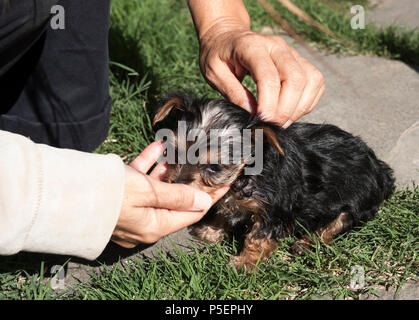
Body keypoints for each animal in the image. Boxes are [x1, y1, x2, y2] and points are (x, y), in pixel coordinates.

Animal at [153, 93, 396, 272]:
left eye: (214, 167)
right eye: (175, 152)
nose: (176, 184)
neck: (247, 173)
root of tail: (380, 169)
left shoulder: (275, 209)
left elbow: (258, 237)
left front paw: (245, 264)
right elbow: (224, 211)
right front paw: (209, 231)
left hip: (358, 199)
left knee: (340, 222)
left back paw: (307, 243)